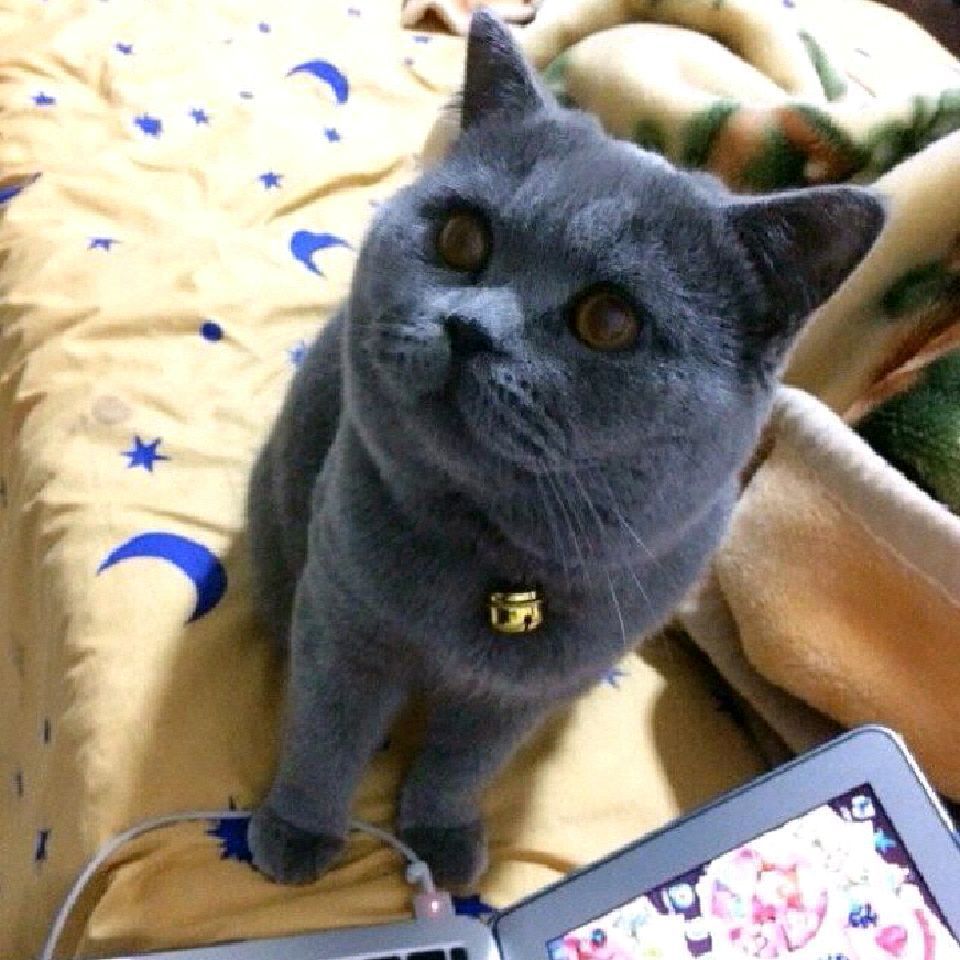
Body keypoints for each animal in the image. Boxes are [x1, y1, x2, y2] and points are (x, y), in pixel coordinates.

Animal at [246, 10, 885, 889]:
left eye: (609, 320)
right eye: (461, 237)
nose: (469, 328)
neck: (499, 571)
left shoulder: (525, 693)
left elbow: (461, 765)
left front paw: (441, 838)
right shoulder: (346, 621)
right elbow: (325, 736)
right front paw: (298, 833)